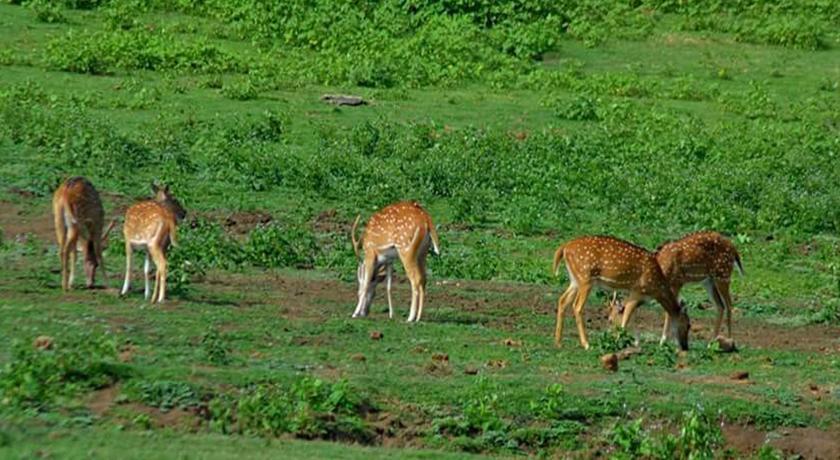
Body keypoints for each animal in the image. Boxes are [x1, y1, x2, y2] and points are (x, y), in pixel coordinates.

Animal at [552, 235, 688, 350]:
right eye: (688, 325)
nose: (685, 346)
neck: (657, 288)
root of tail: (564, 248)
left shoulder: (634, 293)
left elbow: (630, 314)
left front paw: (634, 342)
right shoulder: (637, 290)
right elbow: (627, 315)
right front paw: (619, 341)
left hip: (575, 280)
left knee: (562, 300)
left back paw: (558, 342)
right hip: (585, 279)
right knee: (577, 306)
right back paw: (586, 344)